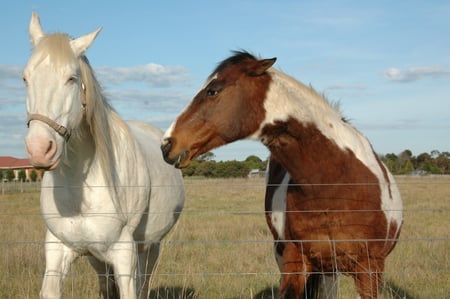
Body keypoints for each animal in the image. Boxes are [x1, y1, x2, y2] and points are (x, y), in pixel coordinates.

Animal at [22, 12, 185, 298]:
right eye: (25, 78)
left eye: (71, 78)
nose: (40, 149)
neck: (82, 187)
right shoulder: (59, 249)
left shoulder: (124, 254)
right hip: (97, 258)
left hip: (149, 247)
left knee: (144, 282)